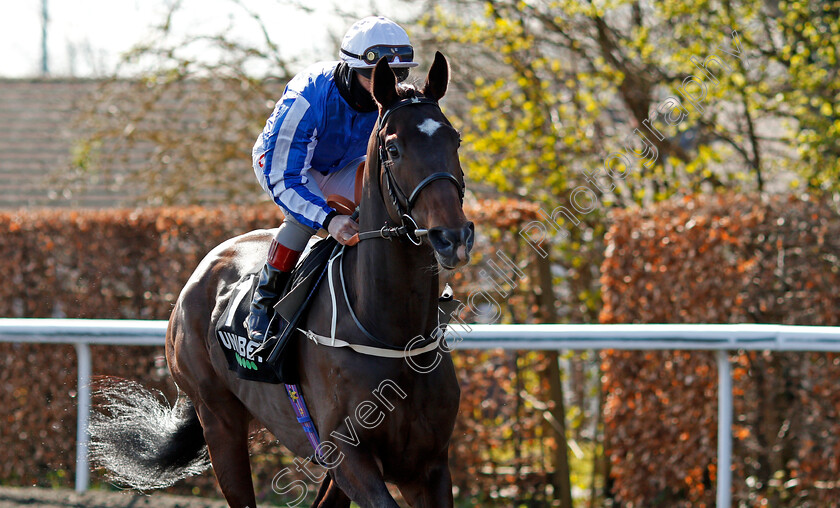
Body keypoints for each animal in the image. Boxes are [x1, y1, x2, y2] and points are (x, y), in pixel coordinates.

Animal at [91, 52, 476, 508]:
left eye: (454, 140)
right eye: (394, 147)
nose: (452, 237)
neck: (393, 334)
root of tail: (200, 273)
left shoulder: (427, 465)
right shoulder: (349, 457)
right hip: (218, 418)